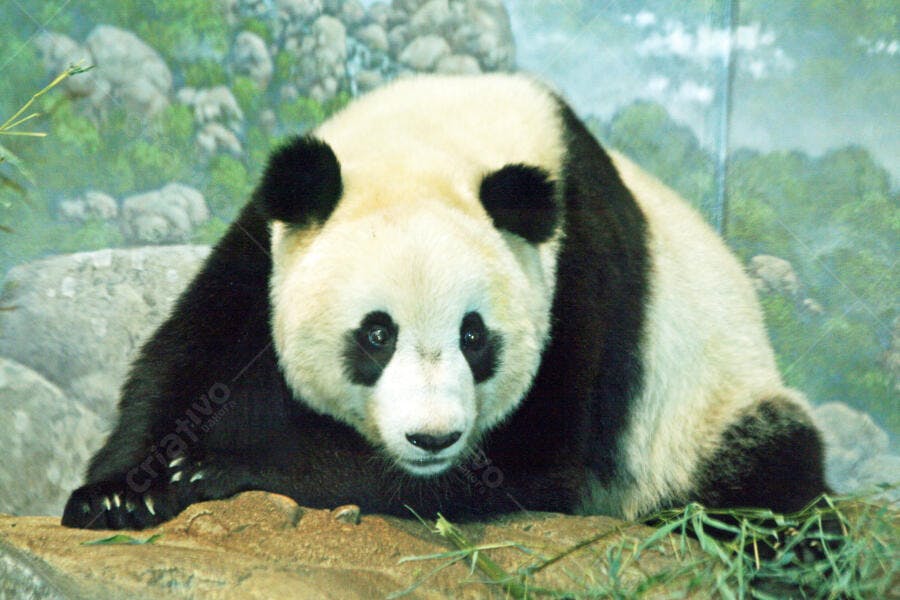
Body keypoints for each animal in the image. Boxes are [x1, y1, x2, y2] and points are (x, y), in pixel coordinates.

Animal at [62, 73, 827, 531]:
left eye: (474, 337)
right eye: (376, 335)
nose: (432, 439)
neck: (435, 142)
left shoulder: (580, 279)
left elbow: (528, 462)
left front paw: (224, 468)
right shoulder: (270, 241)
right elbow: (196, 358)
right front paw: (119, 491)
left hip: (711, 411)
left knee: (769, 471)